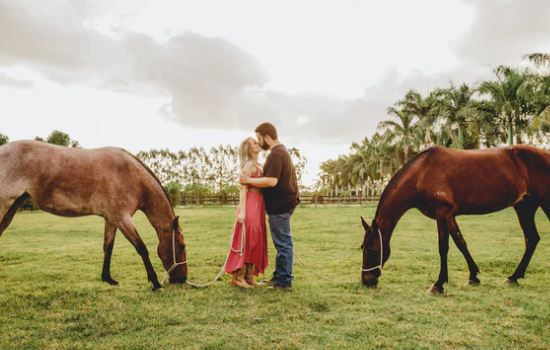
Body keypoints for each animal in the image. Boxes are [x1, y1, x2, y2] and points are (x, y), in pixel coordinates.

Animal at [0, 139, 189, 290]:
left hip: (11, 209)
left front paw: (108, 279)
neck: (129, 175)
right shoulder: (123, 218)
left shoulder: (111, 219)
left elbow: (108, 247)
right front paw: (155, 283)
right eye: (182, 246)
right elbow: (141, 248)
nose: (182, 279)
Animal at [362, 144, 550, 294]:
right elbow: (461, 243)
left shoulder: (442, 213)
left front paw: (438, 285)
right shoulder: (449, 215)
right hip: (524, 207)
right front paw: (473, 276)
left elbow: (443, 247)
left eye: (373, 249)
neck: (422, 172)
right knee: (532, 238)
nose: (366, 281)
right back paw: (513, 277)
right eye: (362, 247)